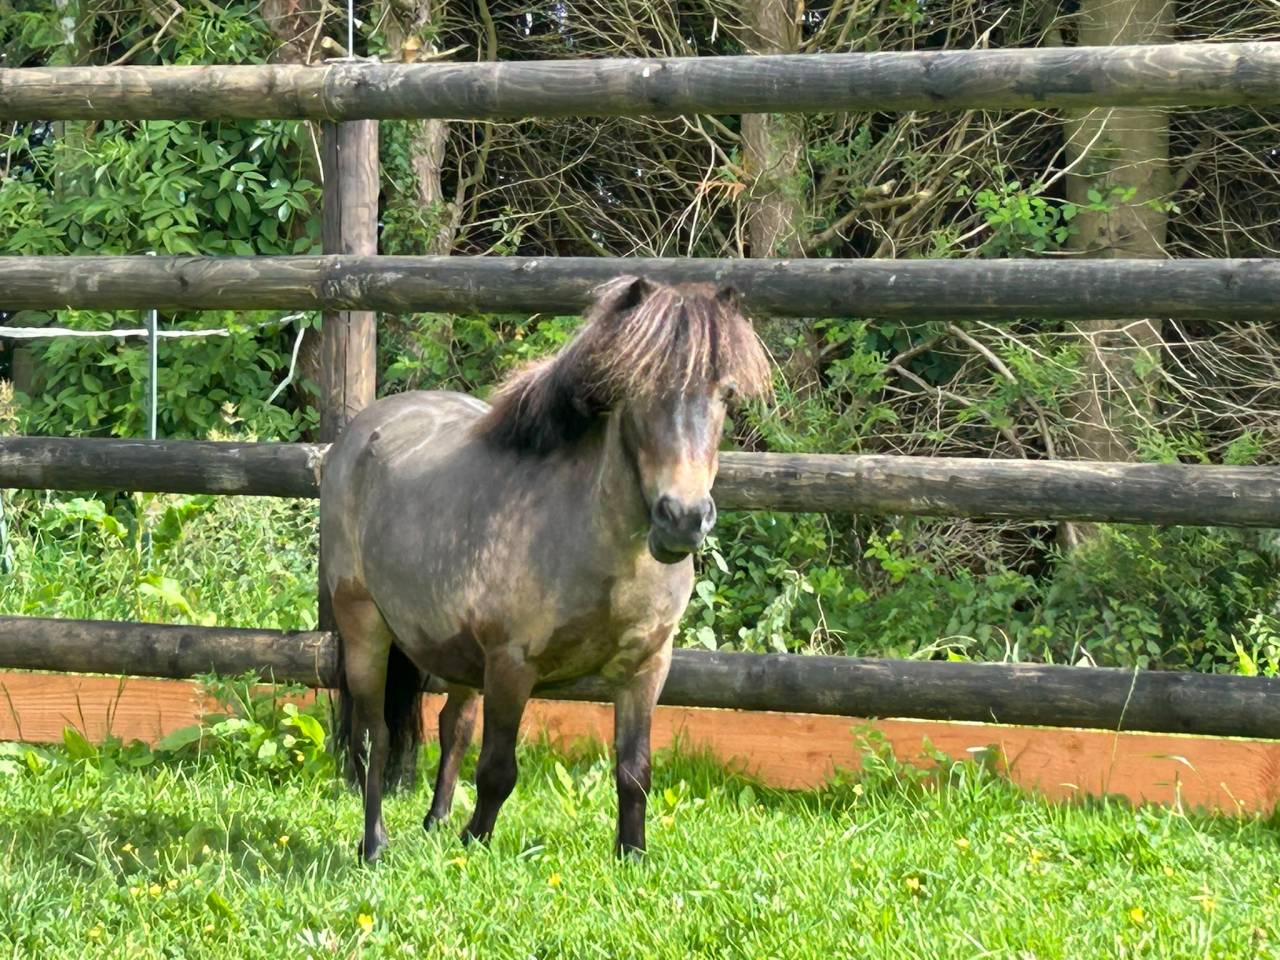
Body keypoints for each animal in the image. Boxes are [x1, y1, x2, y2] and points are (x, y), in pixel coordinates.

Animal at [320, 275, 771, 862]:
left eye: (727, 394)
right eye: (637, 389)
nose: (684, 518)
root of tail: (359, 433)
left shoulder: (647, 668)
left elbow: (635, 771)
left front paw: (631, 856)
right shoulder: (512, 664)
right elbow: (497, 770)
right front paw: (475, 844)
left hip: (456, 653)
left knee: (452, 725)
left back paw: (436, 823)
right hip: (365, 628)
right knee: (373, 733)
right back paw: (374, 844)